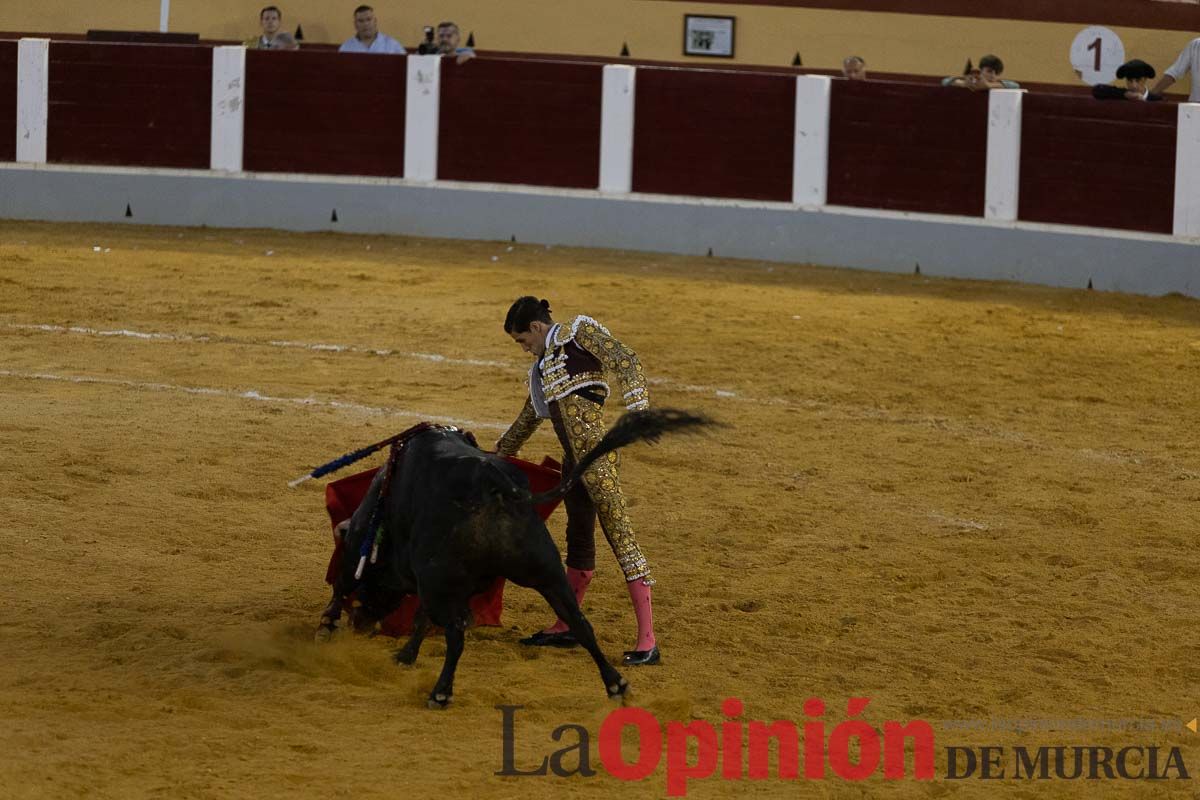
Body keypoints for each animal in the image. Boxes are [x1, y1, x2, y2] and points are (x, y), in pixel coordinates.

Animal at [319, 410, 710, 710]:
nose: (361, 624)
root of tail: (497, 488)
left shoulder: (394, 561)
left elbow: (347, 584)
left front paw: (329, 624)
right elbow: (420, 617)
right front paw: (403, 656)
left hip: (448, 576)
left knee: (456, 635)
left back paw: (440, 693)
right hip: (547, 572)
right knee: (581, 624)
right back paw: (616, 684)